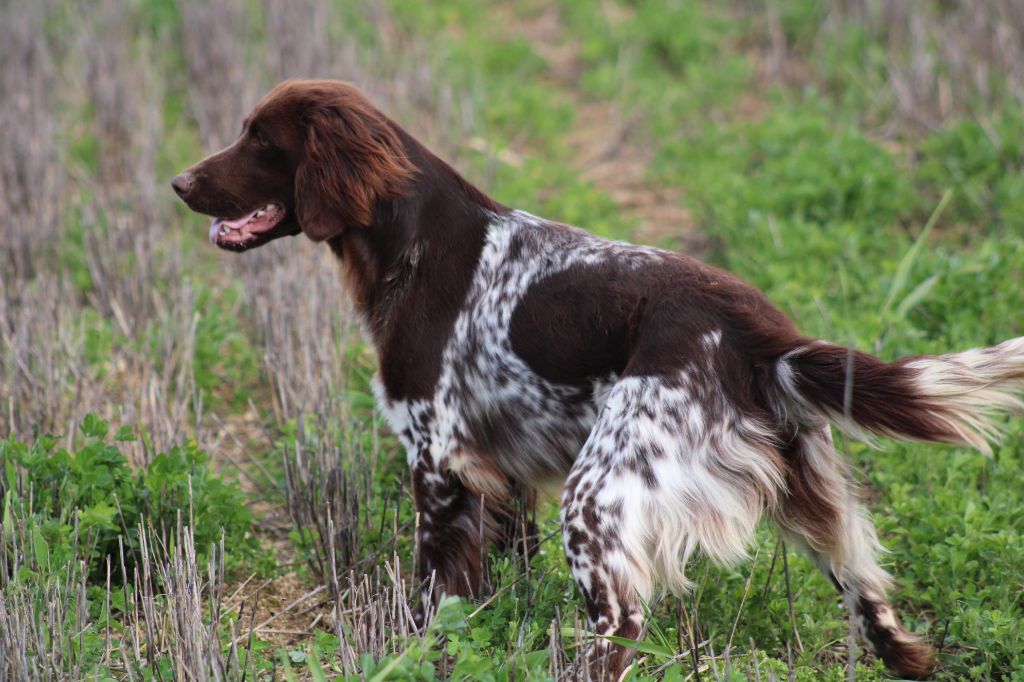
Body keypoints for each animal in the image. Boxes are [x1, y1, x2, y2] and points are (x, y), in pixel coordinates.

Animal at [174, 78, 1024, 675]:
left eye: (260, 139)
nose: (180, 184)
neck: (407, 241)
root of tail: (760, 336)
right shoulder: (499, 473)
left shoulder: (438, 459)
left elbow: (434, 597)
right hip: (808, 500)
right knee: (876, 609)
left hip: (600, 495)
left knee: (620, 629)